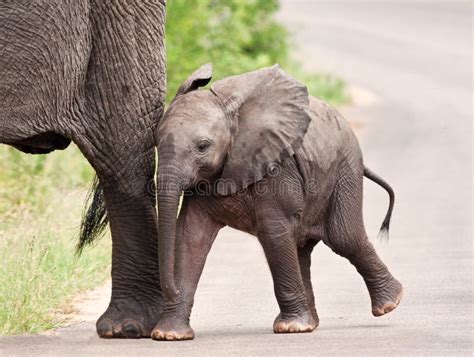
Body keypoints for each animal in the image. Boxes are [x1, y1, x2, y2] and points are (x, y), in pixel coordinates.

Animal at [151, 63, 400, 340]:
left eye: (203, 146)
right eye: (155, 142)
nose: (170, 291)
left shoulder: (276, 168)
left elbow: (273, 232)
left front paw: (290, 328)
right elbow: (190, 235)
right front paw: (169, 335)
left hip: (344, 169)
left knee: (343, 237)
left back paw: (389, 304)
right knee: (302, 246)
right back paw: (312, 323)